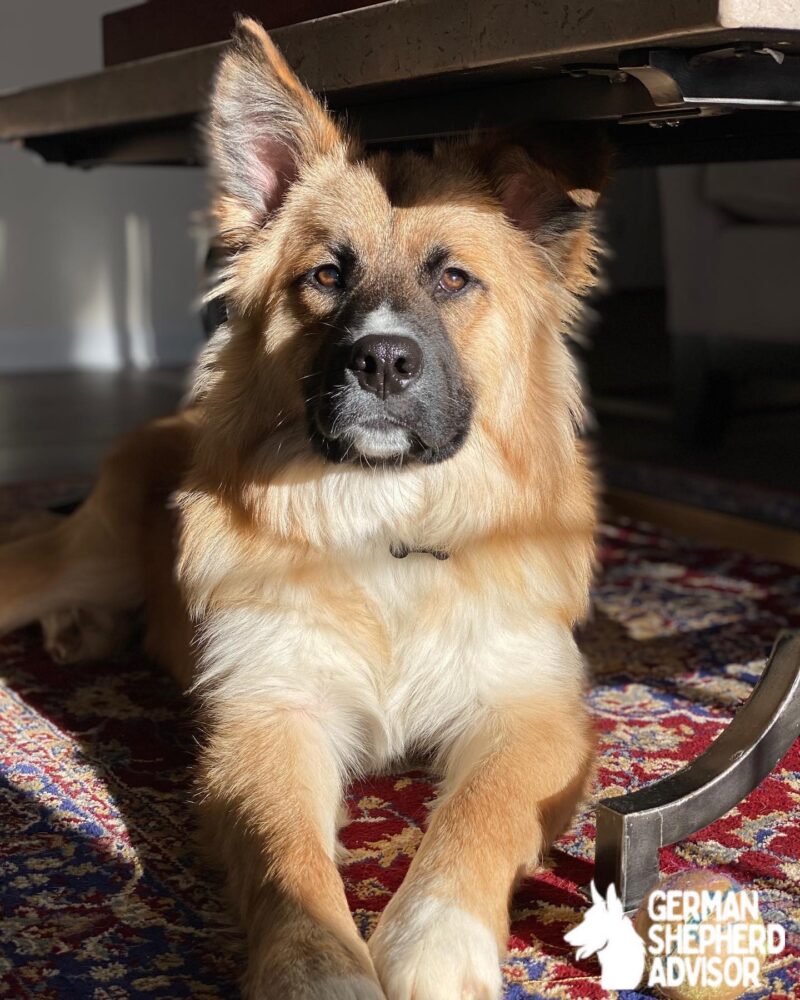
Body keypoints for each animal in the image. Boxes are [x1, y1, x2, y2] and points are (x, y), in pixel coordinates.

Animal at [0, 17, 604, 1000]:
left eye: (453, 280)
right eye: (326, 275)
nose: (383, 362)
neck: (387, 521)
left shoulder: (530, 712)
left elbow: (477, 813)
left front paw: (436, 942)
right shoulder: (272, 715)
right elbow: (289, 860)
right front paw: (319, 967)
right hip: (93, 551)